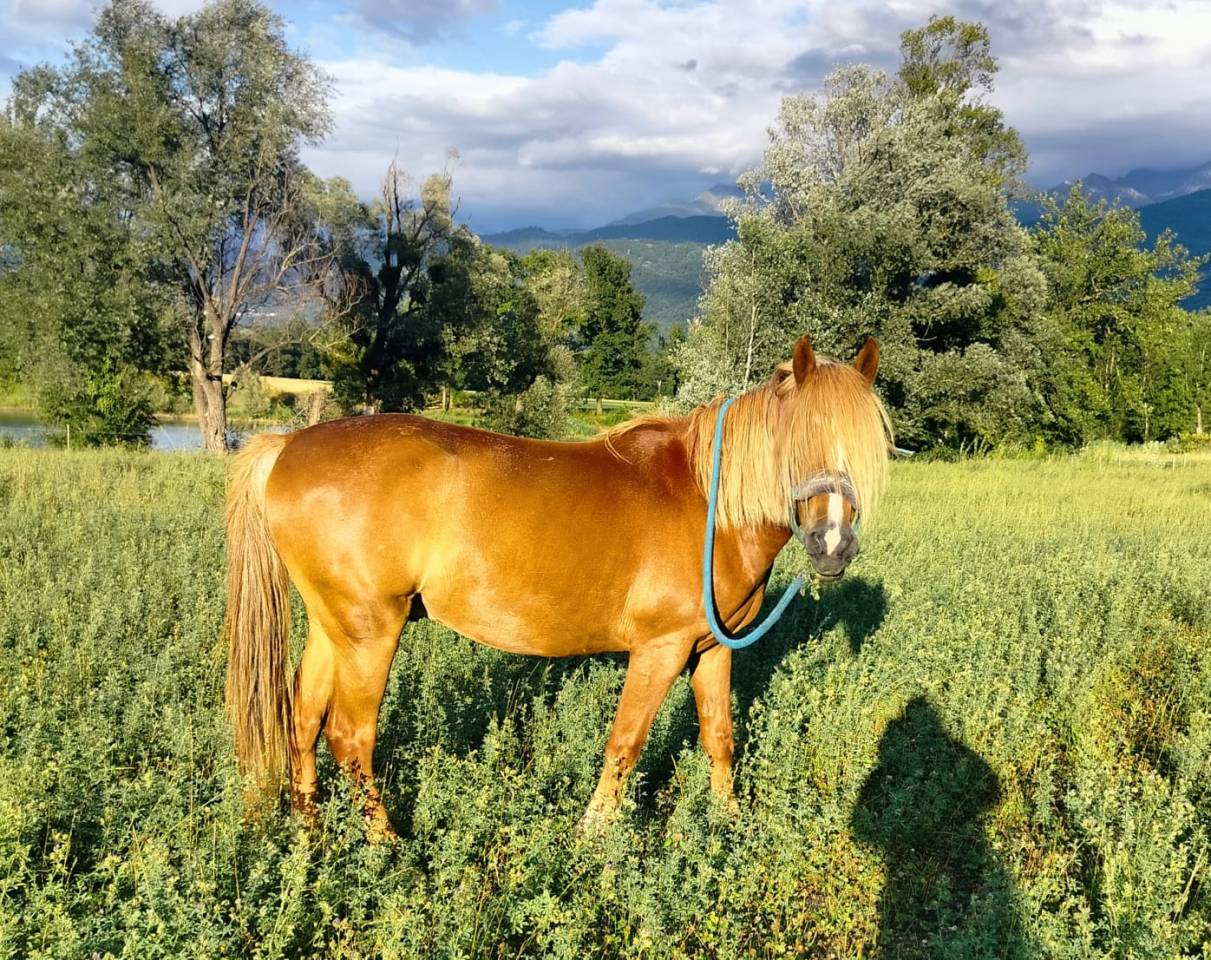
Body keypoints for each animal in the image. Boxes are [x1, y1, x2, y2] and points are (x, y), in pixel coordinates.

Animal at [223, 334, 891, 834]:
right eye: (798, 439)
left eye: (865, 447)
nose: (833, 545)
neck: (709, 503)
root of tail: (288, 444)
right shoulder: (661, 648)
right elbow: (625, 742)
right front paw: (592, 839)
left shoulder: (711, 649)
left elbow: (719, 736)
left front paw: (727, 824)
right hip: (369, 634)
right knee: (350, 738)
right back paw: (387, 851)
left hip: (332, 629)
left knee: (303, 721)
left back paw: (309, 837)